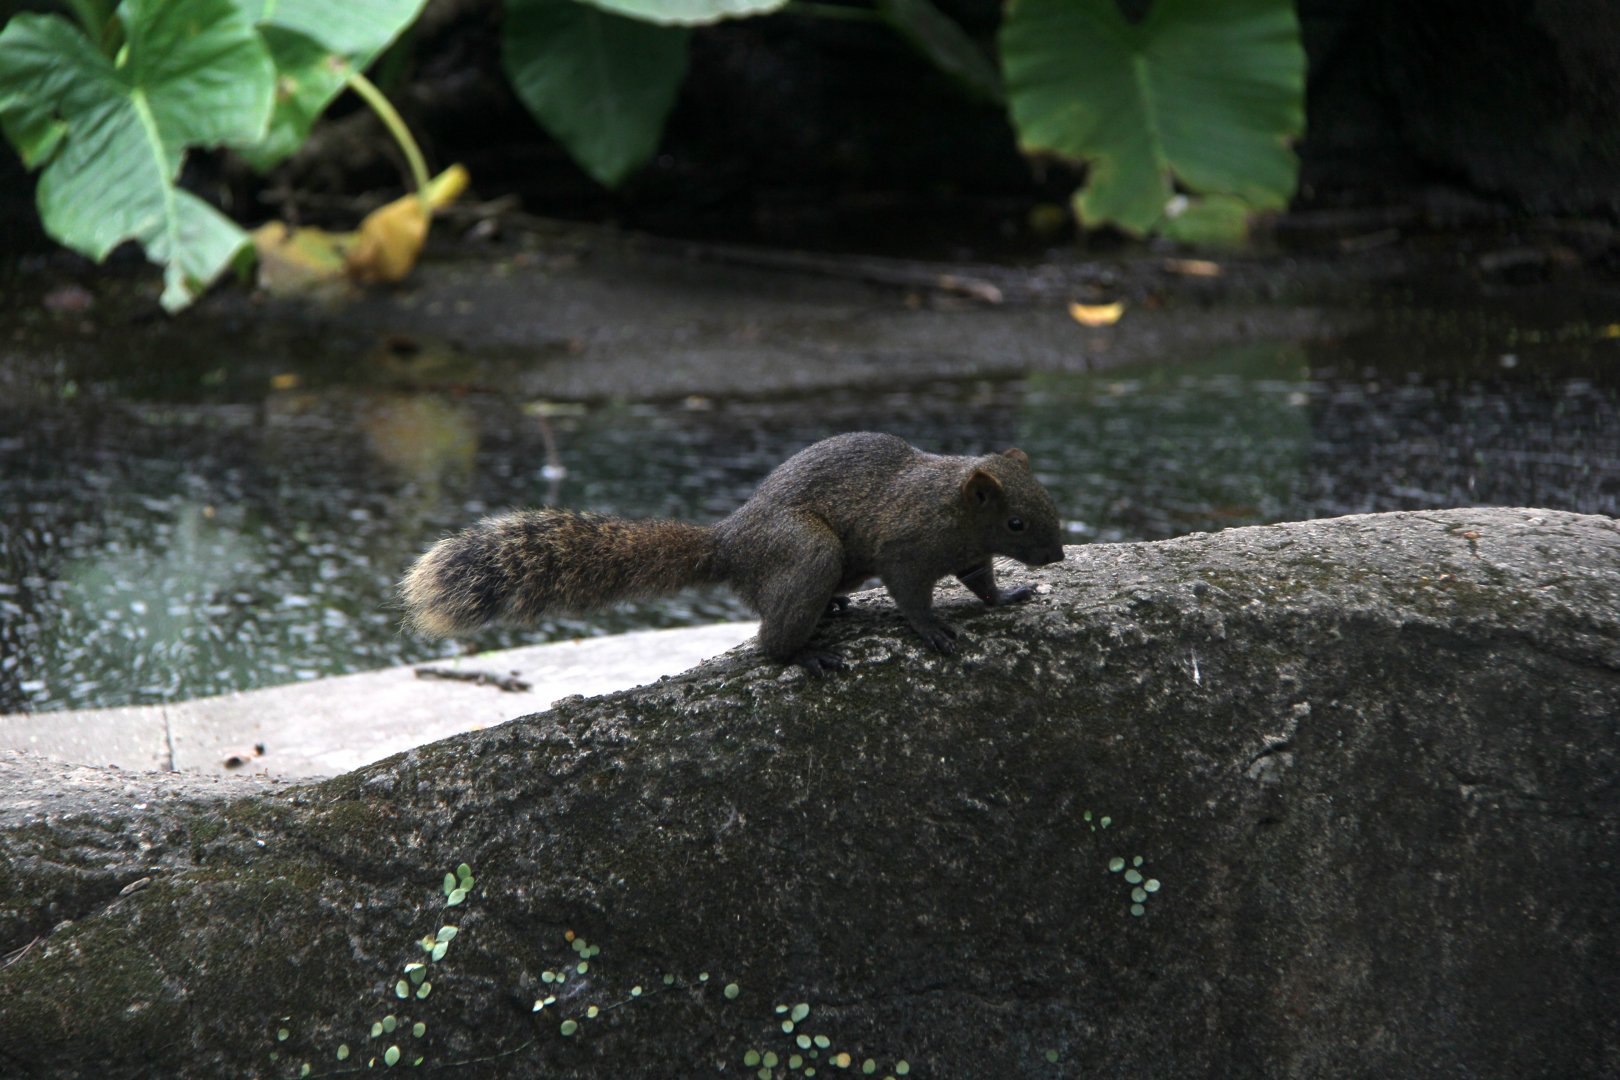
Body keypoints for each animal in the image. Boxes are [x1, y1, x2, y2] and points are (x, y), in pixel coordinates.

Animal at [401, 432, 1066, 673]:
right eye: (1015, 521)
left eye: (1050, 503)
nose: (1057, 557)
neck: (953, 506)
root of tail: (732, 544)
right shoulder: (907, 546)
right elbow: (910, 594)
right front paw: (934, 631)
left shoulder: (969, 554)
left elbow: (982, 582)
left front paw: (1010, 594)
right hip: (808, 551)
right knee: (771, 641)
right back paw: (804, 655)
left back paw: (835, 612)